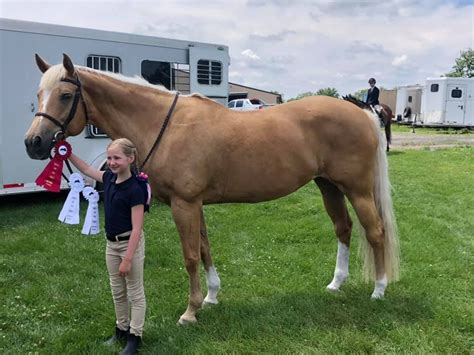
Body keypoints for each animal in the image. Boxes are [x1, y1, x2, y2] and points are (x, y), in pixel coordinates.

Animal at [24, 55, 398, 326]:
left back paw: (379, 290)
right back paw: (337, 283)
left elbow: (190, 256)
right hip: (328, 186)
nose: (34, 143)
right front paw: (211, 297)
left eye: (66, 96)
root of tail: (363, 113)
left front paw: (190, 312)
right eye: (38, 95)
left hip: (357, 189)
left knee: (375, 231)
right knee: (343, 229)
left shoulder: (184, 204)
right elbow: (204, 249)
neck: (164, 123)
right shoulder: (195, 204)